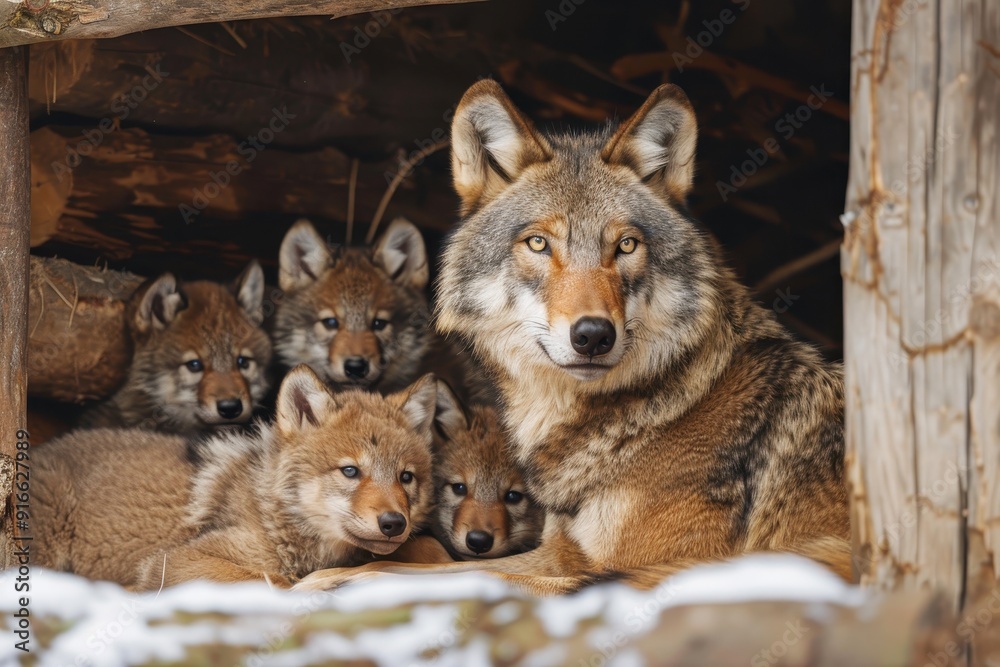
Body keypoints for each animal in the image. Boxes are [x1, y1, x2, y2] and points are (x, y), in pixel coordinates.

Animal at [295, 80, 849, 595]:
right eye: (539, 243)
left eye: (626, 245)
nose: (592, 335)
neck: (653, 411)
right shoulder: (563, 549)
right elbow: (426, 564)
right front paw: (326, 577)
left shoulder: (643, 566)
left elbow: (474, 577)